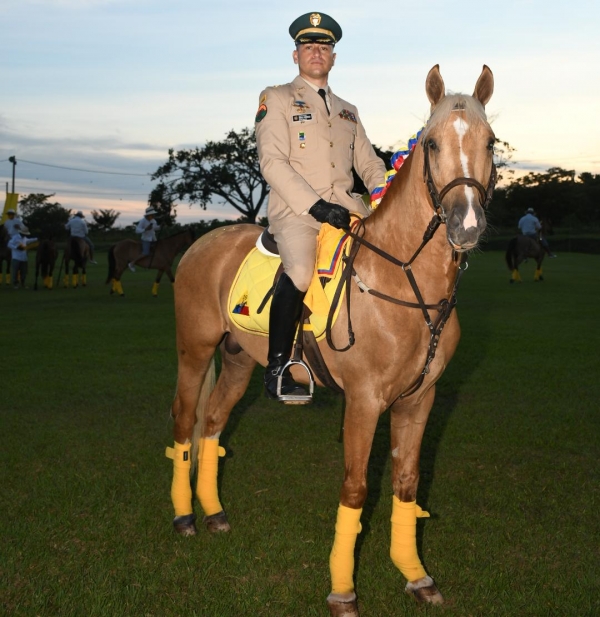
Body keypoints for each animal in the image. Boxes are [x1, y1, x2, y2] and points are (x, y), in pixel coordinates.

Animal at [166, 65, 494, 612]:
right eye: (431, 144)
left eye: (490, 142)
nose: (466, 225)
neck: (403, 278)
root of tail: (204, 240)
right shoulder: (363, 401)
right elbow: (356, 491)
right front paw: (343, 590)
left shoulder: (419, 399)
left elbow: (407, 484)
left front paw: (416, 575)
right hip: (195, 351)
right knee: (184, 421)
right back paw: (185, 516)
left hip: (237, 359)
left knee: (212, 424)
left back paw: (213, 513)